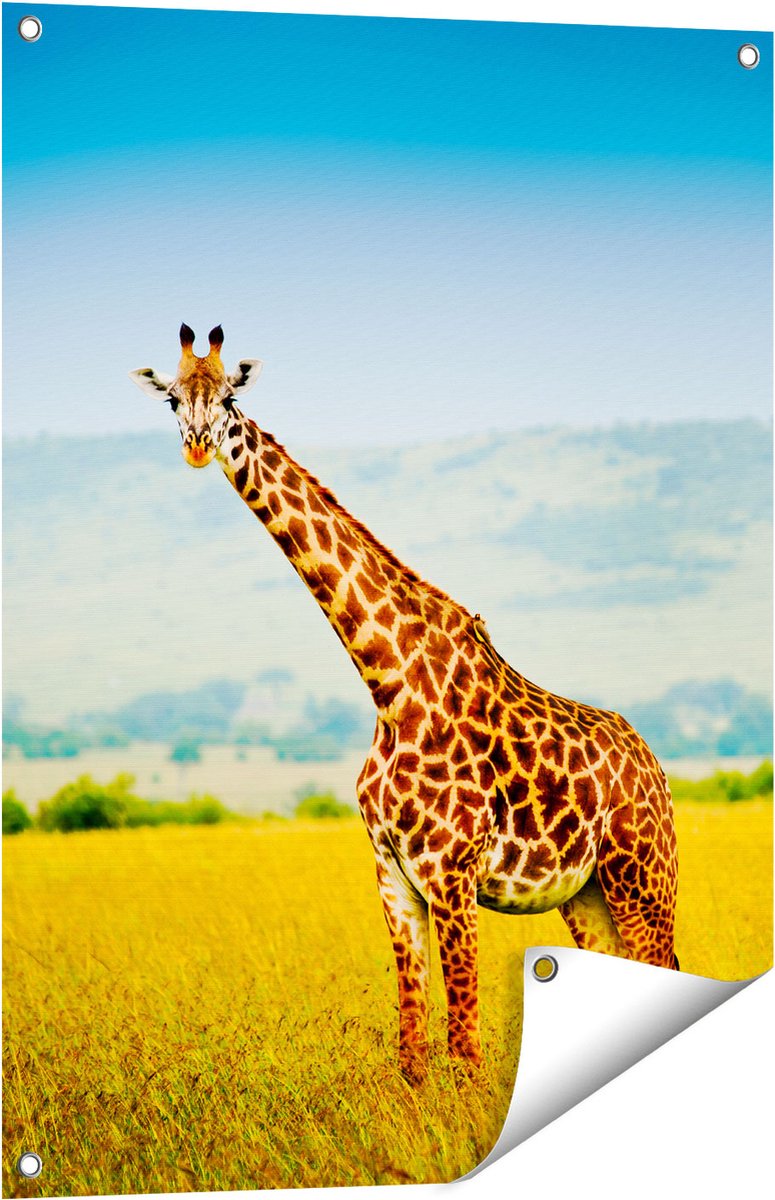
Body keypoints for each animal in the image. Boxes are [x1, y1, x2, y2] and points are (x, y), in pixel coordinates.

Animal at [131, 325, 679, 1083]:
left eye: (231, 397)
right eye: (173, 400)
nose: (195, 445)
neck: (388, 683)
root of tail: (655, 768)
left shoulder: (450, 874)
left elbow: (465, 1045)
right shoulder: (392, 875)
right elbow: (413, 1049)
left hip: (642, 876)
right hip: (587, 892)